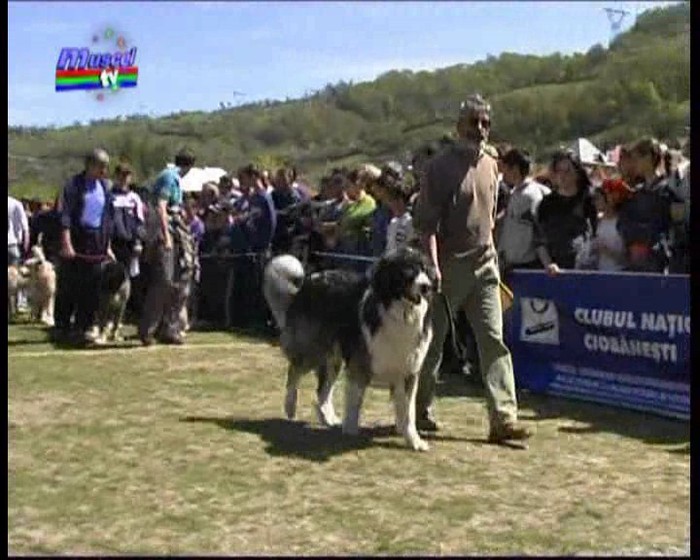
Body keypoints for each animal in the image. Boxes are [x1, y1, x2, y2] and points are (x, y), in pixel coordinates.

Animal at [264, 249, 438, 450]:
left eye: (425, 270)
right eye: (408, 270)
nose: (426, 287)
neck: (400, 314)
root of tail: (309, 281)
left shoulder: (408, 372)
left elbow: (408, 412)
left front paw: (414, 441)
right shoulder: (359, 365)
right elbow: (355, 402)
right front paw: (350, 431)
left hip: (332, 358)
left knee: (322, 390)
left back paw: (328, 418)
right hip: (314, 348)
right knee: (294, 372)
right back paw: (290, 407)